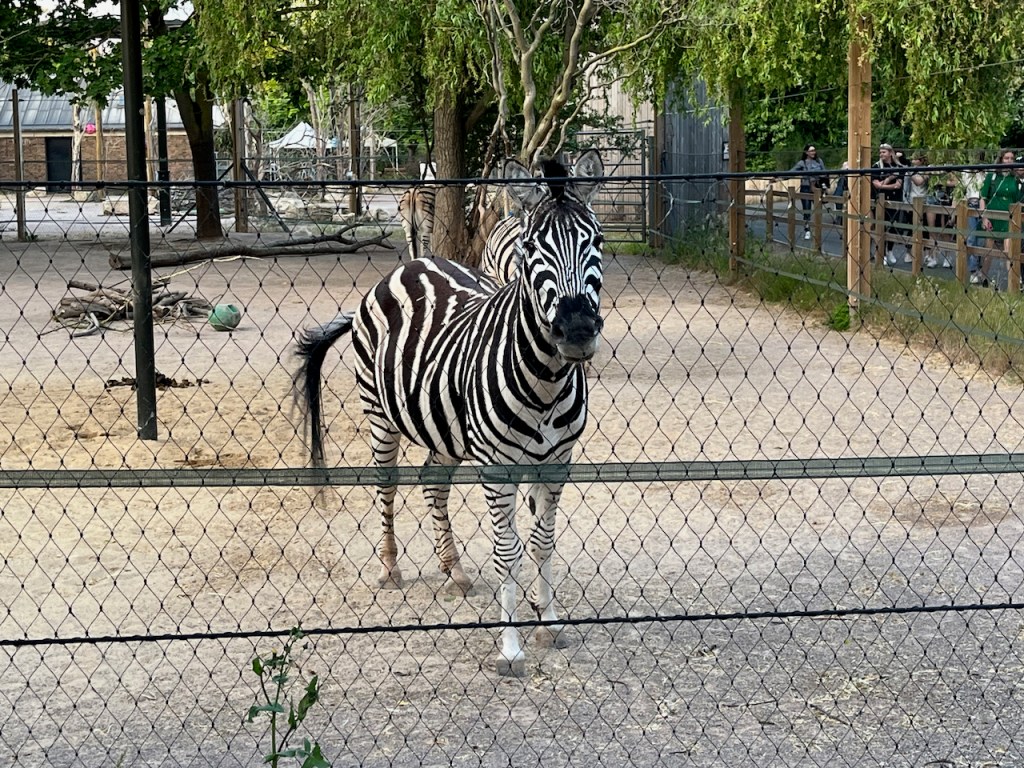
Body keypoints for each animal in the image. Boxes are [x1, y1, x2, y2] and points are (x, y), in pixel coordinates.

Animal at [295, 150, 605, 676]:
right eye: (530, 248)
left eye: (597, 242)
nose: (578, 330)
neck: (546, 382)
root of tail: (413, 265)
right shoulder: (498, 467)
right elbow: (508, 552)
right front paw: (510, 647)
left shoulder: (559, 460)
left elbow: (543, 542)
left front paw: (550, 623)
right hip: (380, 416)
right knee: (388, 486)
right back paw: (390, 567)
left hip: (446, 429)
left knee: (431, 482)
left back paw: (454, 569)